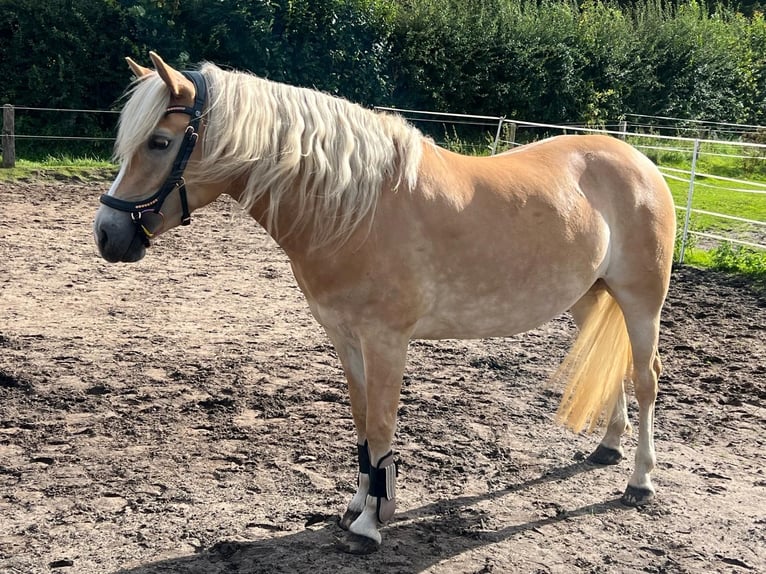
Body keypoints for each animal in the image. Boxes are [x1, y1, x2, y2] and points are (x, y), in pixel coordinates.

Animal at [94, 51, 680, 556]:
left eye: (161, 142)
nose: (106, 235)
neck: (356, 208)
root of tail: (637, 160)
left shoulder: (386, 342)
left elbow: (380, 426)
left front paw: (371, 526)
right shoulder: (345, 337)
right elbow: (361, 422)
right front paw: (359, 507)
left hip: (641, 298)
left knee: (645, 375)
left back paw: (640, 480)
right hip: (589, 296)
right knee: (614, 364)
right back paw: (608, 448)